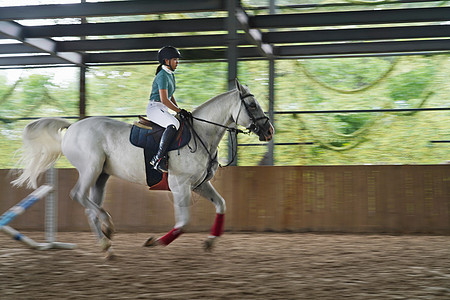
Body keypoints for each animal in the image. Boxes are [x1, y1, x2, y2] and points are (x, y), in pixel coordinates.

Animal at [13, 79, 274, 258]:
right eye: (252, 105)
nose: (269, 131)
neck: (201, 133)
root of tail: (73, 127)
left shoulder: (199, 184)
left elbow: (221, 205)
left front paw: (210, 241)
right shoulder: (180, 185)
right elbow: (183, 222)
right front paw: (155, 242)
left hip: (101, 176)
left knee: (90, 206)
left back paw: (106, 244)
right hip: (90, 168)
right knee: (78, 195)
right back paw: (108, 226)